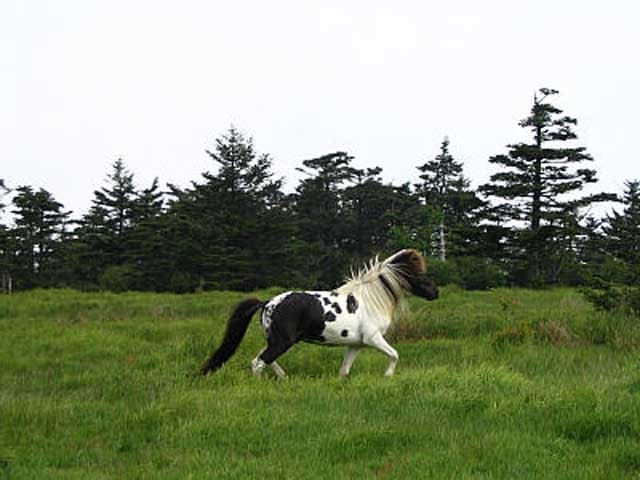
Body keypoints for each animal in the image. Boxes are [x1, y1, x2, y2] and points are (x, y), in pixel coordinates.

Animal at [200, 248, 440, 378]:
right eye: (418, 274)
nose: (435, 292)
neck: (370, 300)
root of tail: (267, 303)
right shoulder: (373, 338)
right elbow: (394, 354)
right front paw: (388, 375)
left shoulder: (356, 344)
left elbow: (344, 370)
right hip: (282, 342)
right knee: (258, 362)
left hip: (276, 340)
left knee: (264, 359)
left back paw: (284, 378)